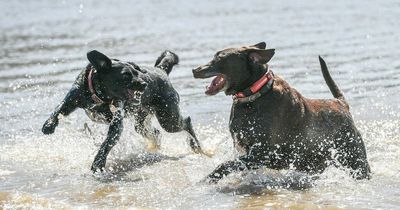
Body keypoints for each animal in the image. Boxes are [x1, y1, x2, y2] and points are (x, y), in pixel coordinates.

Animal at [192, 42, 370, 182]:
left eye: (219, 58)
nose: (194, 69)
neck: (254, 96)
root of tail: (341, 104)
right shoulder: (242, 147)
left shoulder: (262, 153)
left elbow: (227, 164)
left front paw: (208, 179)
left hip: (355, 159)